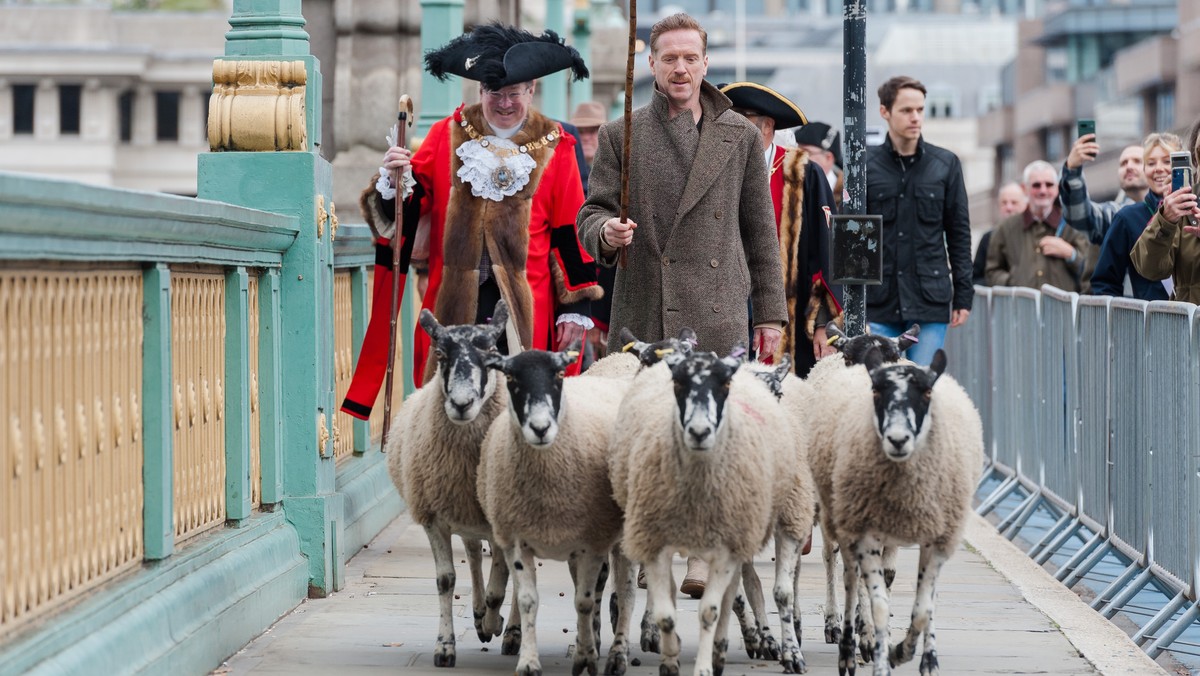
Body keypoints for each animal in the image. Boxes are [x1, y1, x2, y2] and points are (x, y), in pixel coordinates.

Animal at [384, 301, 516, 667]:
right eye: (441, 354)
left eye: (492, 354)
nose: (461, 404)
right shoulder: (434, 518)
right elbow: (446, 580)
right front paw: (445, 646)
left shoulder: (501, 523)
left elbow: (500, 588)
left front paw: (493, 624)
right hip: (467, 516)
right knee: (472, 555)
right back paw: (477, 613)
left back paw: (510, 632)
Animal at [475, 345, 633, 676]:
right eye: (511, 377)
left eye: (559, 375)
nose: (540, 428)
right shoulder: (518, 541)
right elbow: (529, 601)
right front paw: (529, 662)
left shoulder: (591, 544)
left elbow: (585, 601)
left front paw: (586, 657)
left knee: (625, 592)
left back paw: (619, 654)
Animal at [816, 348, 984, 676]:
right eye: (877, 391)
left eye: (928, 391)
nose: (897, 440)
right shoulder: (865, 530)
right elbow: (872, 593)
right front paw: (873, 644)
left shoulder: (934, 534)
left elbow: (918, 602)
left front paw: (912, 654)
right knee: (837, 565)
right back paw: (840, 633)